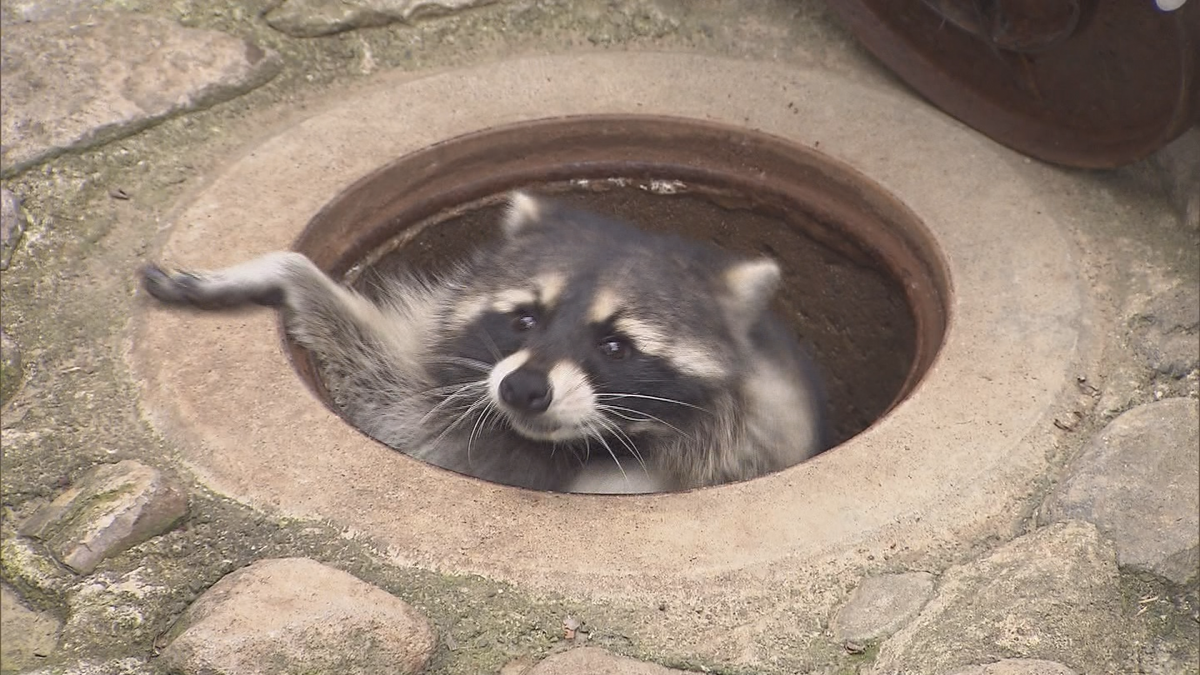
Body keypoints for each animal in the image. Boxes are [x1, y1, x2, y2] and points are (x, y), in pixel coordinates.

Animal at [140, 192, 825, 492]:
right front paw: (289, 270)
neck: (591, 449)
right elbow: (391, 396)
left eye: (615, 347)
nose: (523, 388)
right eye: (524, 319)